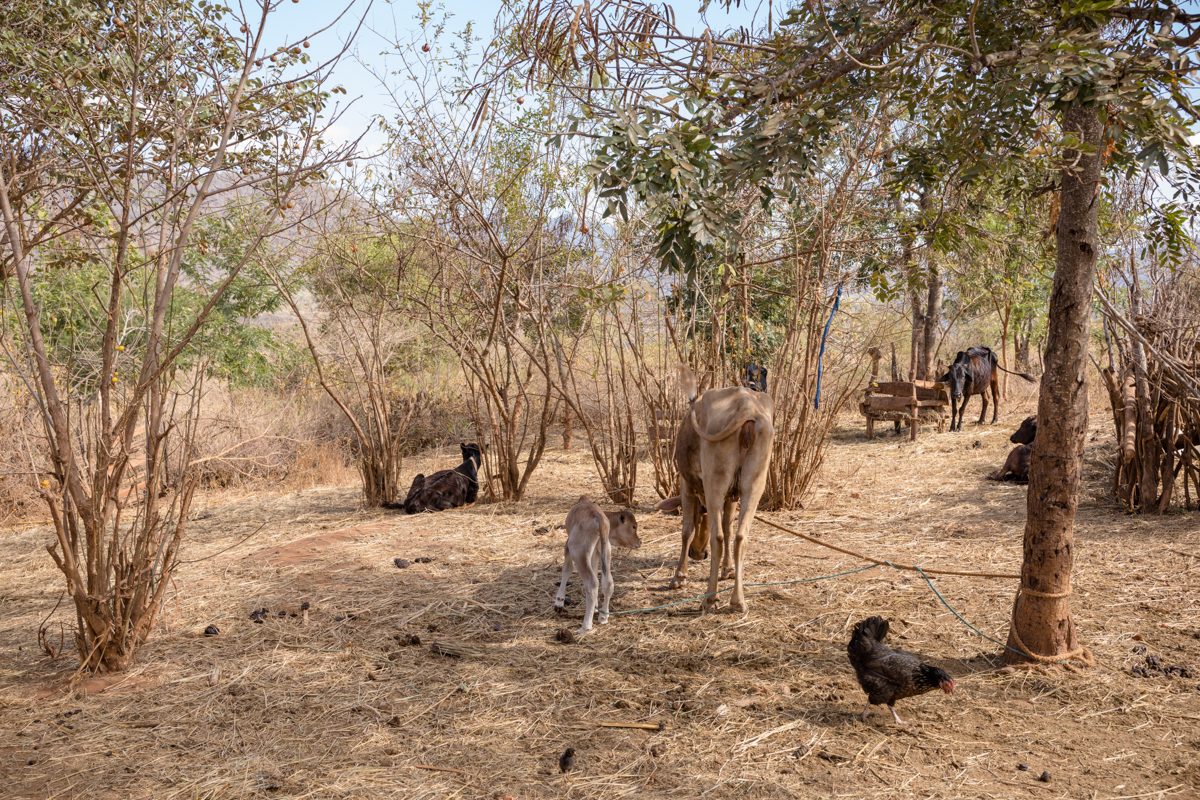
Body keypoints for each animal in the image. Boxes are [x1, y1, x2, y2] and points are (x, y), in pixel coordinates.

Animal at [672, 369, 772, 614]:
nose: (698, 554)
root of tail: (747, 405)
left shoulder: (686, 485)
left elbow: (687, 530)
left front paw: (680, 576)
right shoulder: (732, 496)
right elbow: (728, 528)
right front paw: (728, 569)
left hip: (715, 483)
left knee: (716, 538)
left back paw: (710, 598)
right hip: (753, 485)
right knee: (740, 536)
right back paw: (738, 600)